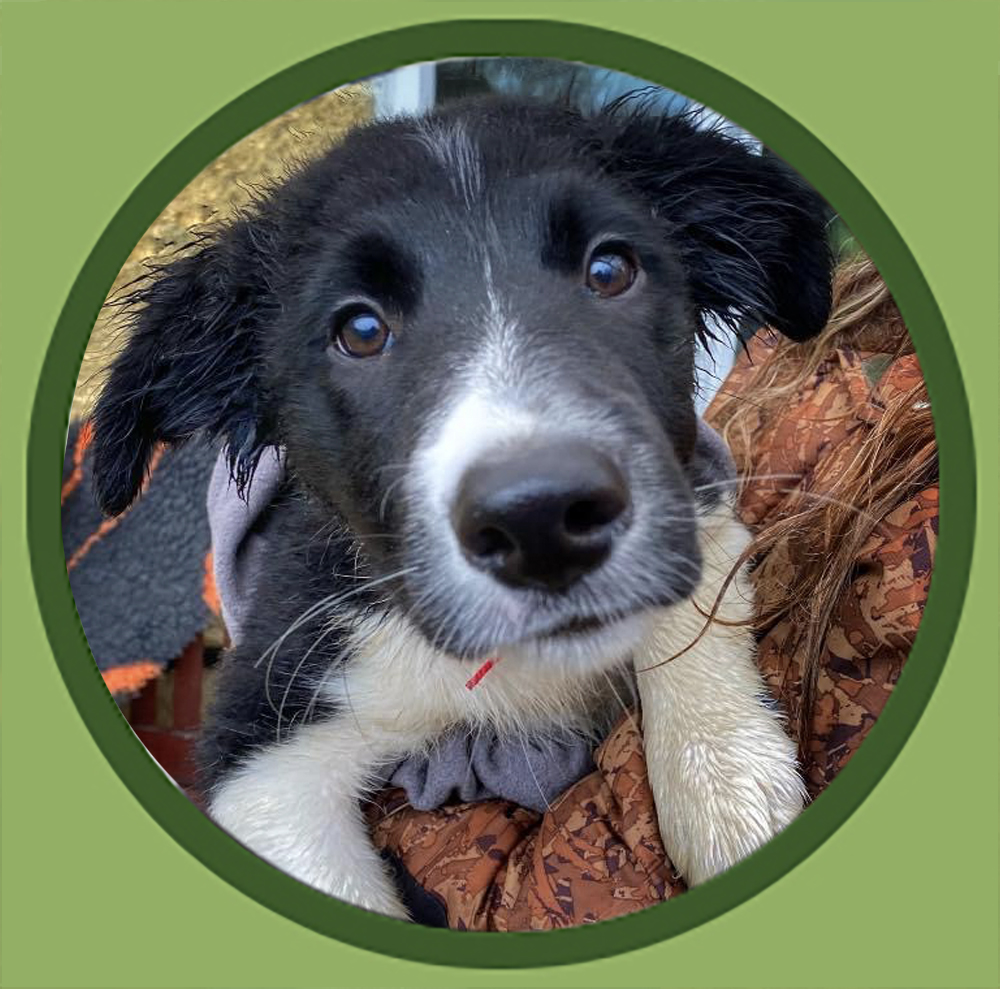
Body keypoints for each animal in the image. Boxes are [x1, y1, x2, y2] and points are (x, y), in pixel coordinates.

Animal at [92, 96, 828, 916]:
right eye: (360, 330)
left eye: (609, 270)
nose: (541, 523)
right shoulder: (268, 727)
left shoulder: (696, 477)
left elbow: (696, 592)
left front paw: (726, 783)